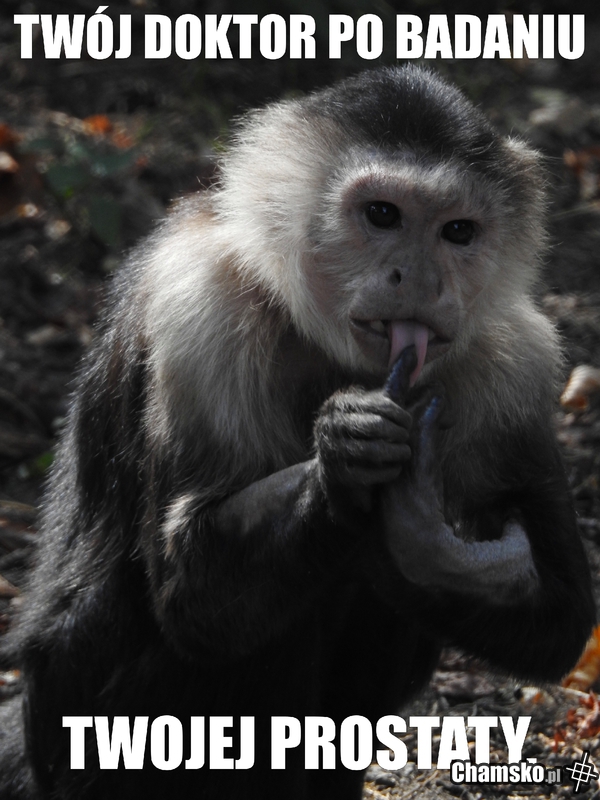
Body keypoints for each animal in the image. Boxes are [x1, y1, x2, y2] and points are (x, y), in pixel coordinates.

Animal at [0, 64, 595, 800]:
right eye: (382, 215)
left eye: (458, 231)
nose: (422, 281)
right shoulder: (202, 310)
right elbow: (191, 596)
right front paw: (349, 456)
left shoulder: (518, 358)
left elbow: (561, 621)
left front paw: (417, 533)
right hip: (72, 733)